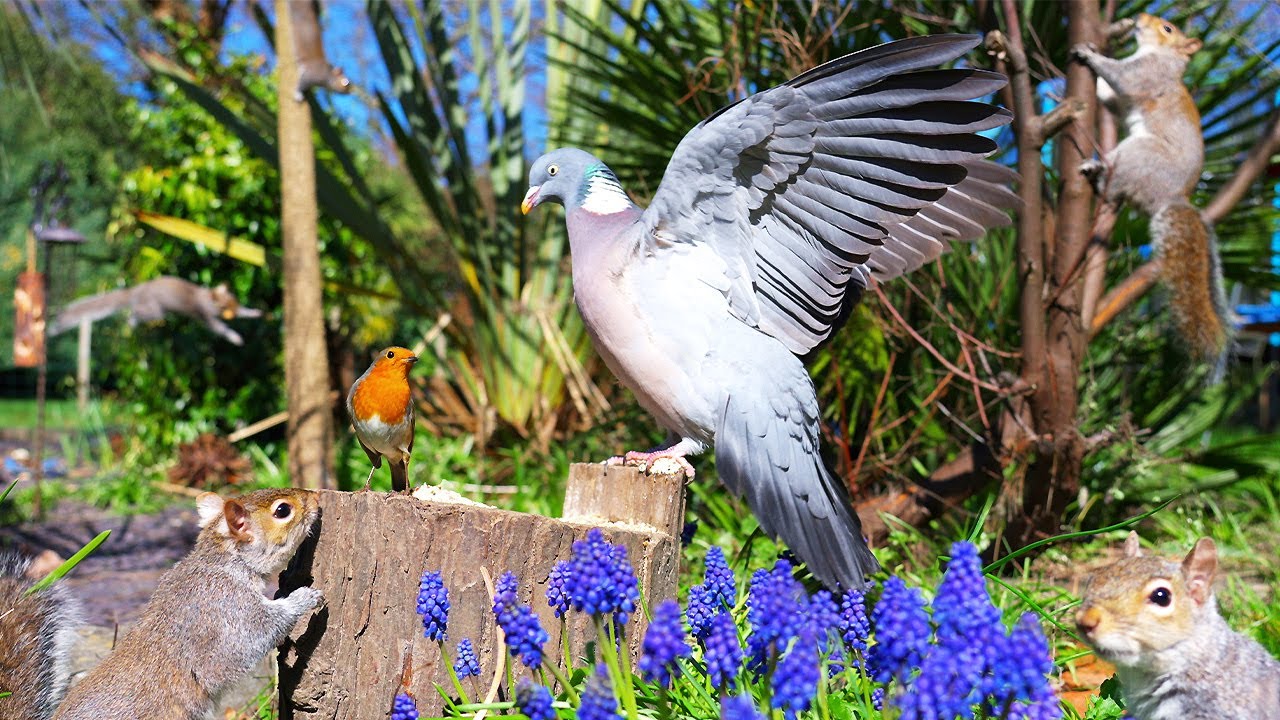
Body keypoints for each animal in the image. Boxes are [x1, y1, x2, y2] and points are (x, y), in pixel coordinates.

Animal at [48, 276, 264, 346]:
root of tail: (136, 290)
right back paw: (130, 321)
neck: (206, 297)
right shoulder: (205, 315)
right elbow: (220, 328)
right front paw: (235, 338)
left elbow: (246, 313)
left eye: (234, 301)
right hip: (153, 309)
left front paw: (254, 312)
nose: (232, 311)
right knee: (135, 312)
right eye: (224, 306)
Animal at [1071, 14, 1233, 366]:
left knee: (1116, 184)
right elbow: (1113, 100)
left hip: (1140, 155)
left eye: (1168, 29)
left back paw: (1100, 176)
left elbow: (1123, 78)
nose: (1140, 17)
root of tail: (1170, 198)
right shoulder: (1127, 95)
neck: (1160, 54)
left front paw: (1090, 56)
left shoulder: (1148, 73)